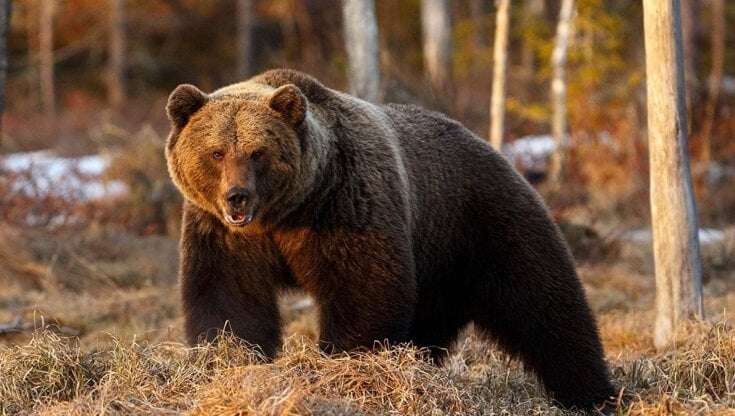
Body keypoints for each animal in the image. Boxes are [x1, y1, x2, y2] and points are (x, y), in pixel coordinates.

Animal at [165, 69, 616, 410]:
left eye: (258, 152)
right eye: (216, 152)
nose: (237, 196)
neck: (286, 213)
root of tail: (494, 148)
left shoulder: (346, 203)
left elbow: (362, 290)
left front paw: (344, 368)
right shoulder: (225, 234)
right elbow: (229, 297)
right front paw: (229, 359)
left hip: (483, 221)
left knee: (545, 305)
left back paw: (592, 394)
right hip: (438, 270)